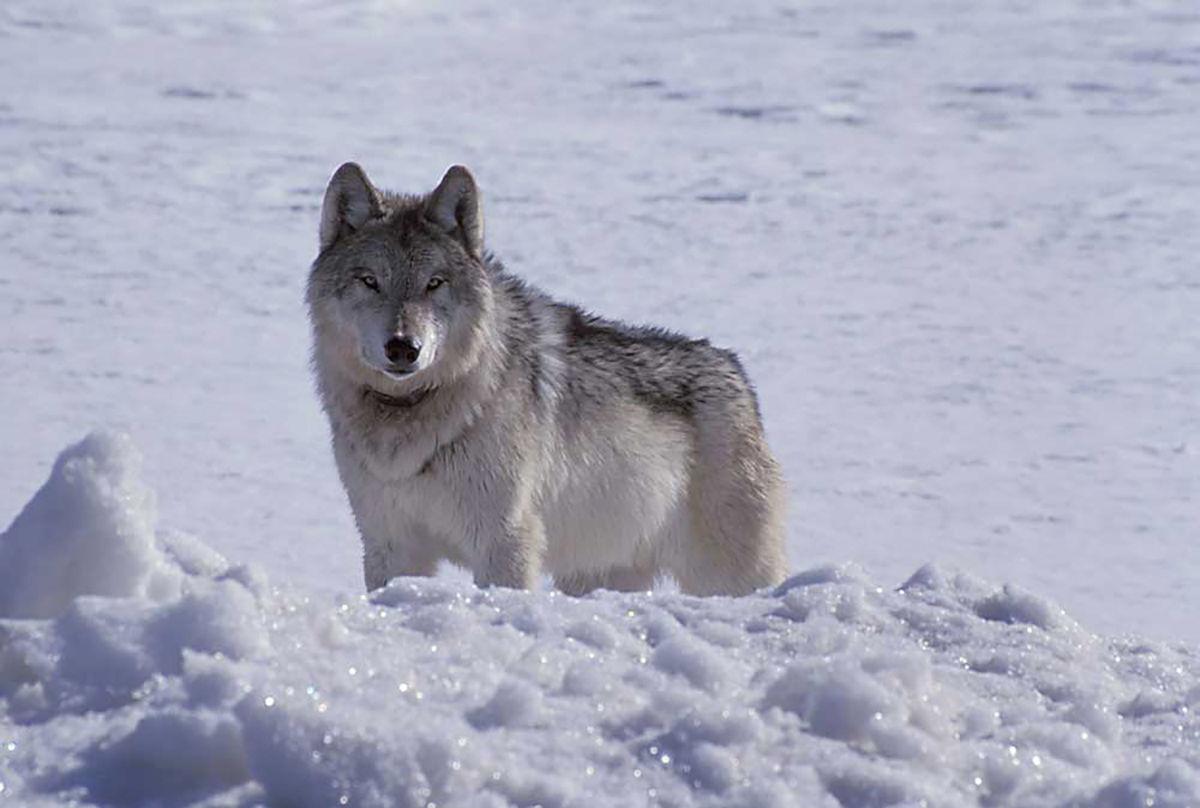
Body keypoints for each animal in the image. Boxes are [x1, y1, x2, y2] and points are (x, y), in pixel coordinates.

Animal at [307, 163, 787, 593]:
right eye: (370, 281)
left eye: (435, 283)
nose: (404, 348)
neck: (409, 412)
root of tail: (736, 372)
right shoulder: (390, 546)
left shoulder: (504, 541)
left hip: (729, 576)